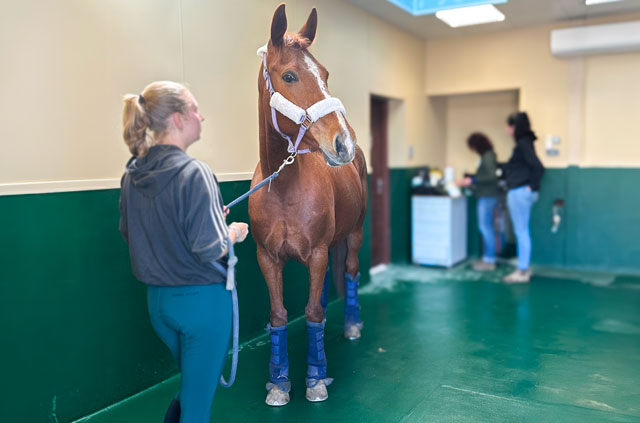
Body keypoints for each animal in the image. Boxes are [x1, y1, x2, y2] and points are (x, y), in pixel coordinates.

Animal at [250, 4, 370, 408]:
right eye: (289, 75)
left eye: (327, 75)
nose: (344, 143)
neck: (283, 186)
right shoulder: (267, 258)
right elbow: (278, 315)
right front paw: (278, 383)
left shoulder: (317, 253)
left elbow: (314, 311)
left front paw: (316, 379)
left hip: (355, 233)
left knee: (350, 271)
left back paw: (351, 324)